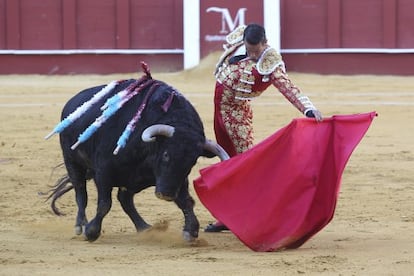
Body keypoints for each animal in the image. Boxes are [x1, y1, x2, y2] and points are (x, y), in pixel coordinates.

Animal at [48, 69, 230, 242]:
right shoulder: (104, 171)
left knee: (125, 198)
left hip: (137, 180)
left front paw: (190, 231)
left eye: (192, 162)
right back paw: (81, 225)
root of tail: (71, 103)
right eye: (166, 154)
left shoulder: (172, 179)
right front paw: (91, 232)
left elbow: (185, 200)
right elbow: (104, 203)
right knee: (81, 193)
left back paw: (144, 227)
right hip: (72, 162)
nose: (166, 194)